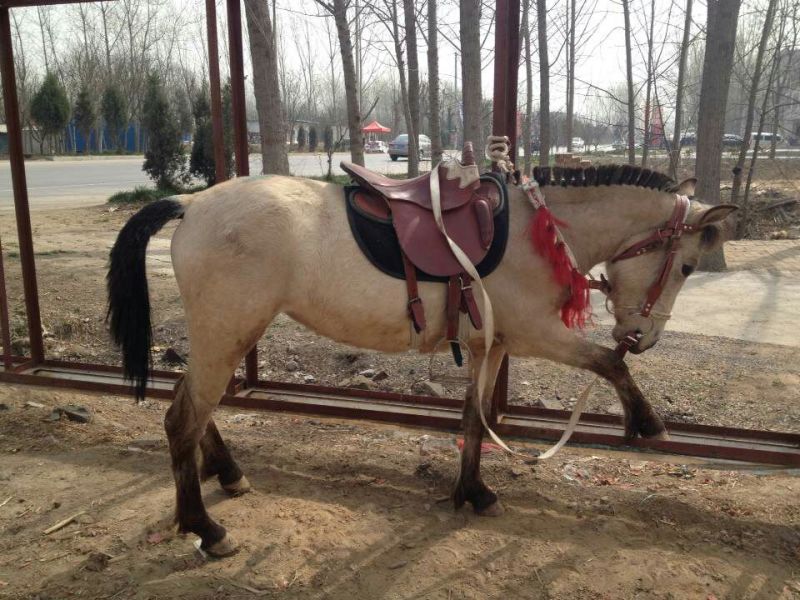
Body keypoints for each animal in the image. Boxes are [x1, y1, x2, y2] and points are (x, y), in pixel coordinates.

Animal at [107, 163, 736, 556]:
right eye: (685, 266)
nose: (642, 336)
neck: (538, 233)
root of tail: (192, 204)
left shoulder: (492, 345)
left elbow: (474, 421)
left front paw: (473, 492)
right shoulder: (538, 335)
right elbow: (608, 363)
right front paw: (646, 422)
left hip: (228, 333)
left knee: (193, 405)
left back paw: (228, 474)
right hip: (227, 331)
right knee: (182, 419)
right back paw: (206, 529)